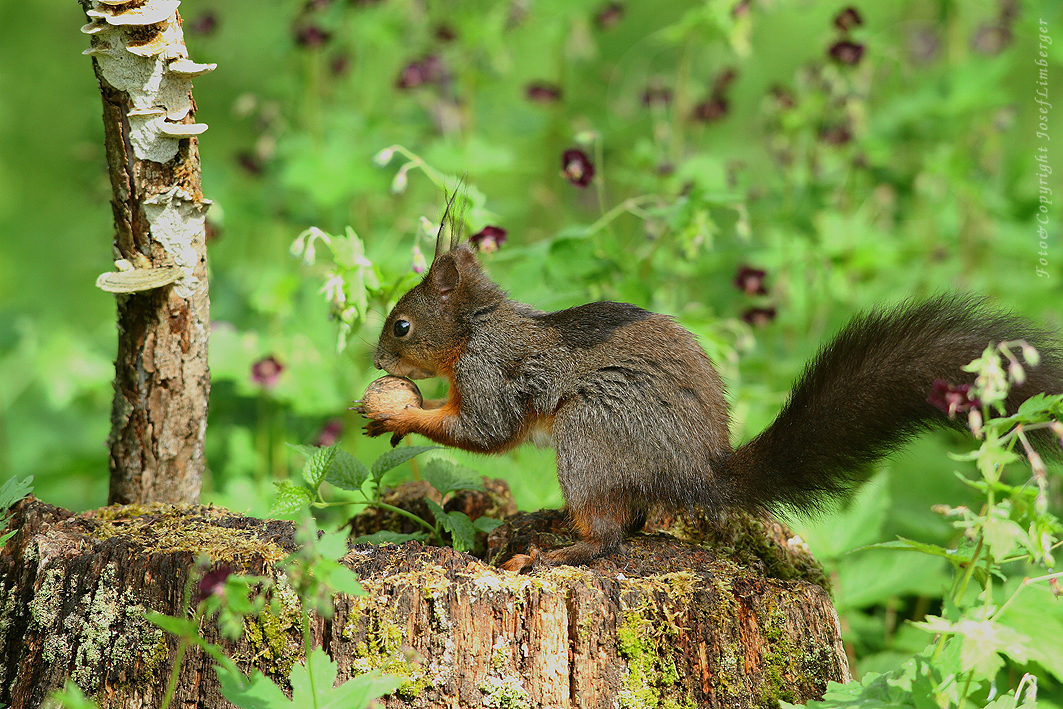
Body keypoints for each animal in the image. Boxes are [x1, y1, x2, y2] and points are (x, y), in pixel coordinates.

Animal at [359, 224, 1063, 574]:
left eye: (401, 325)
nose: (376, 362)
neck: (476, 327)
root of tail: (699, 472)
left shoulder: (492, 375)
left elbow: (485, 433)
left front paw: (395, 410)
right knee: (631, 520)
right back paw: (549, 523)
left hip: (591, 432)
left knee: (613, 540)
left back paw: (562, 548)